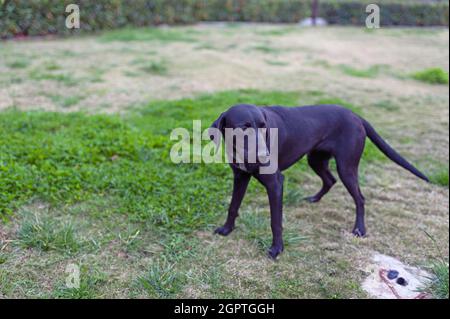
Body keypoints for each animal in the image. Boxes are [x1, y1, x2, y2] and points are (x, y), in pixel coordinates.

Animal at [211, 105, 428, 260]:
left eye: (264, 127)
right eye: (243, 128)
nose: (265, 155)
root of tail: (355, 115)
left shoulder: (275, 183)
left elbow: (275, 221)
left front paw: (277, 249)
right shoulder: (240, 177)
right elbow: (233, 206)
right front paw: (227, 229)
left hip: (346, 167)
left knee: (360, 198)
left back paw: (359, 229)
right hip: (316, 160)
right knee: (330, 180)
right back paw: (315, 199)